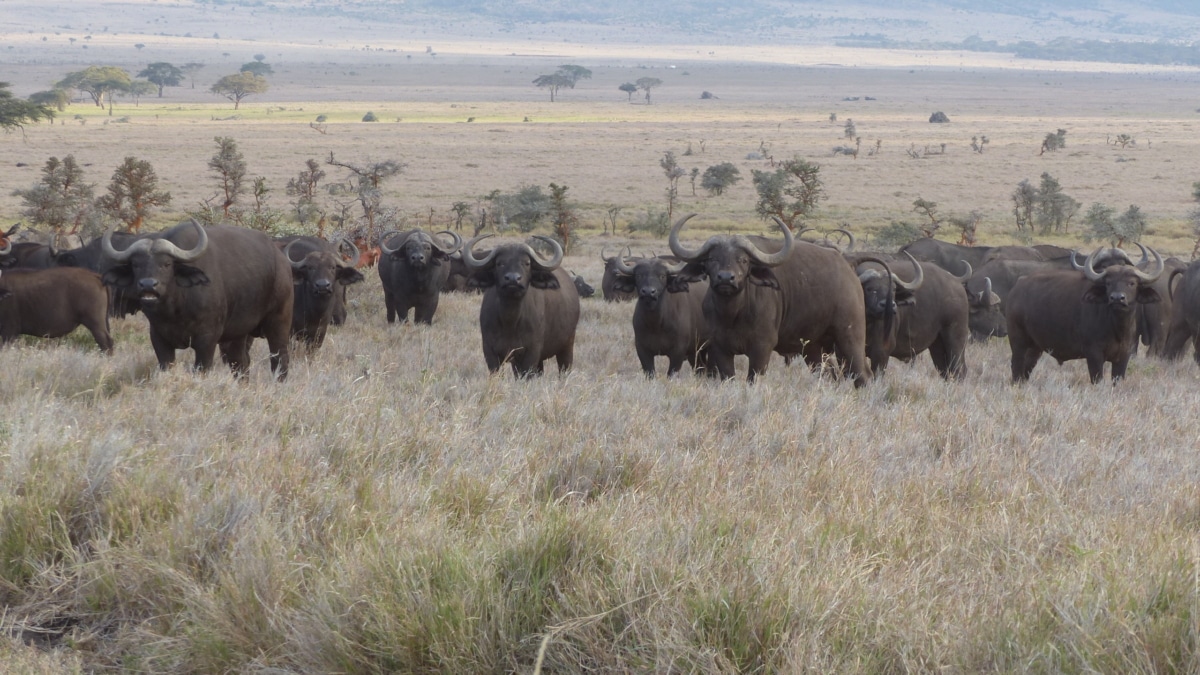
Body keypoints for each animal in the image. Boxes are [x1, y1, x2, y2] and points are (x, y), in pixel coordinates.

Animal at [100, 220, 292, 379]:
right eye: (135, 264)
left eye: (167, 264)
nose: (148, 284)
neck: (174, 309)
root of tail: (281, 258)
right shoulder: (158, 337)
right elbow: (166, 366)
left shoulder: (207, 340)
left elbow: (201, 369)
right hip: (238, 334)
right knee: (240, 363)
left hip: (279, 322)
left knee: (279, 358)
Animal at [460, 234, 578, 374]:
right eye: (499, 263)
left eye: (527, 263)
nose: (513, 279)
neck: (510, 321)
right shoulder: (490, 352)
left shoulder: (532, 352)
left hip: (567, 347)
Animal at [667, 214, 873, 384]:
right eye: (712, 259)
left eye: (743, 260)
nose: (726, 278)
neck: (733, 314)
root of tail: (850, 273)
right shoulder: (719, 348)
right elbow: (728, 378)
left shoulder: (761, 348)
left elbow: (752, 379)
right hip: (813, 348)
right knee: (828, 375)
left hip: (850, 337)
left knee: (862, 374)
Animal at [849, 251, 969, 379]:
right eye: (869, 288)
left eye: (893, 289)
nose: (889, 305)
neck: (868, 323)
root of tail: (956, 283)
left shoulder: (881, 353)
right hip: (937, 345)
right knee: (945, 370)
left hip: (956, 338)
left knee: (959, 370)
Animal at [1003, 246, 1161, 384]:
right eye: (1108, 283)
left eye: (1132, 283)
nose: (1117, 298)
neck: (1117, 327)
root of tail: (1017, 286)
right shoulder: (1094, 354)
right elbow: (1097, 380)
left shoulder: (1123, 357)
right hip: (1018, 341)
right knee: (1016, 366)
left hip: (1035, 347)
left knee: (1027, 368)